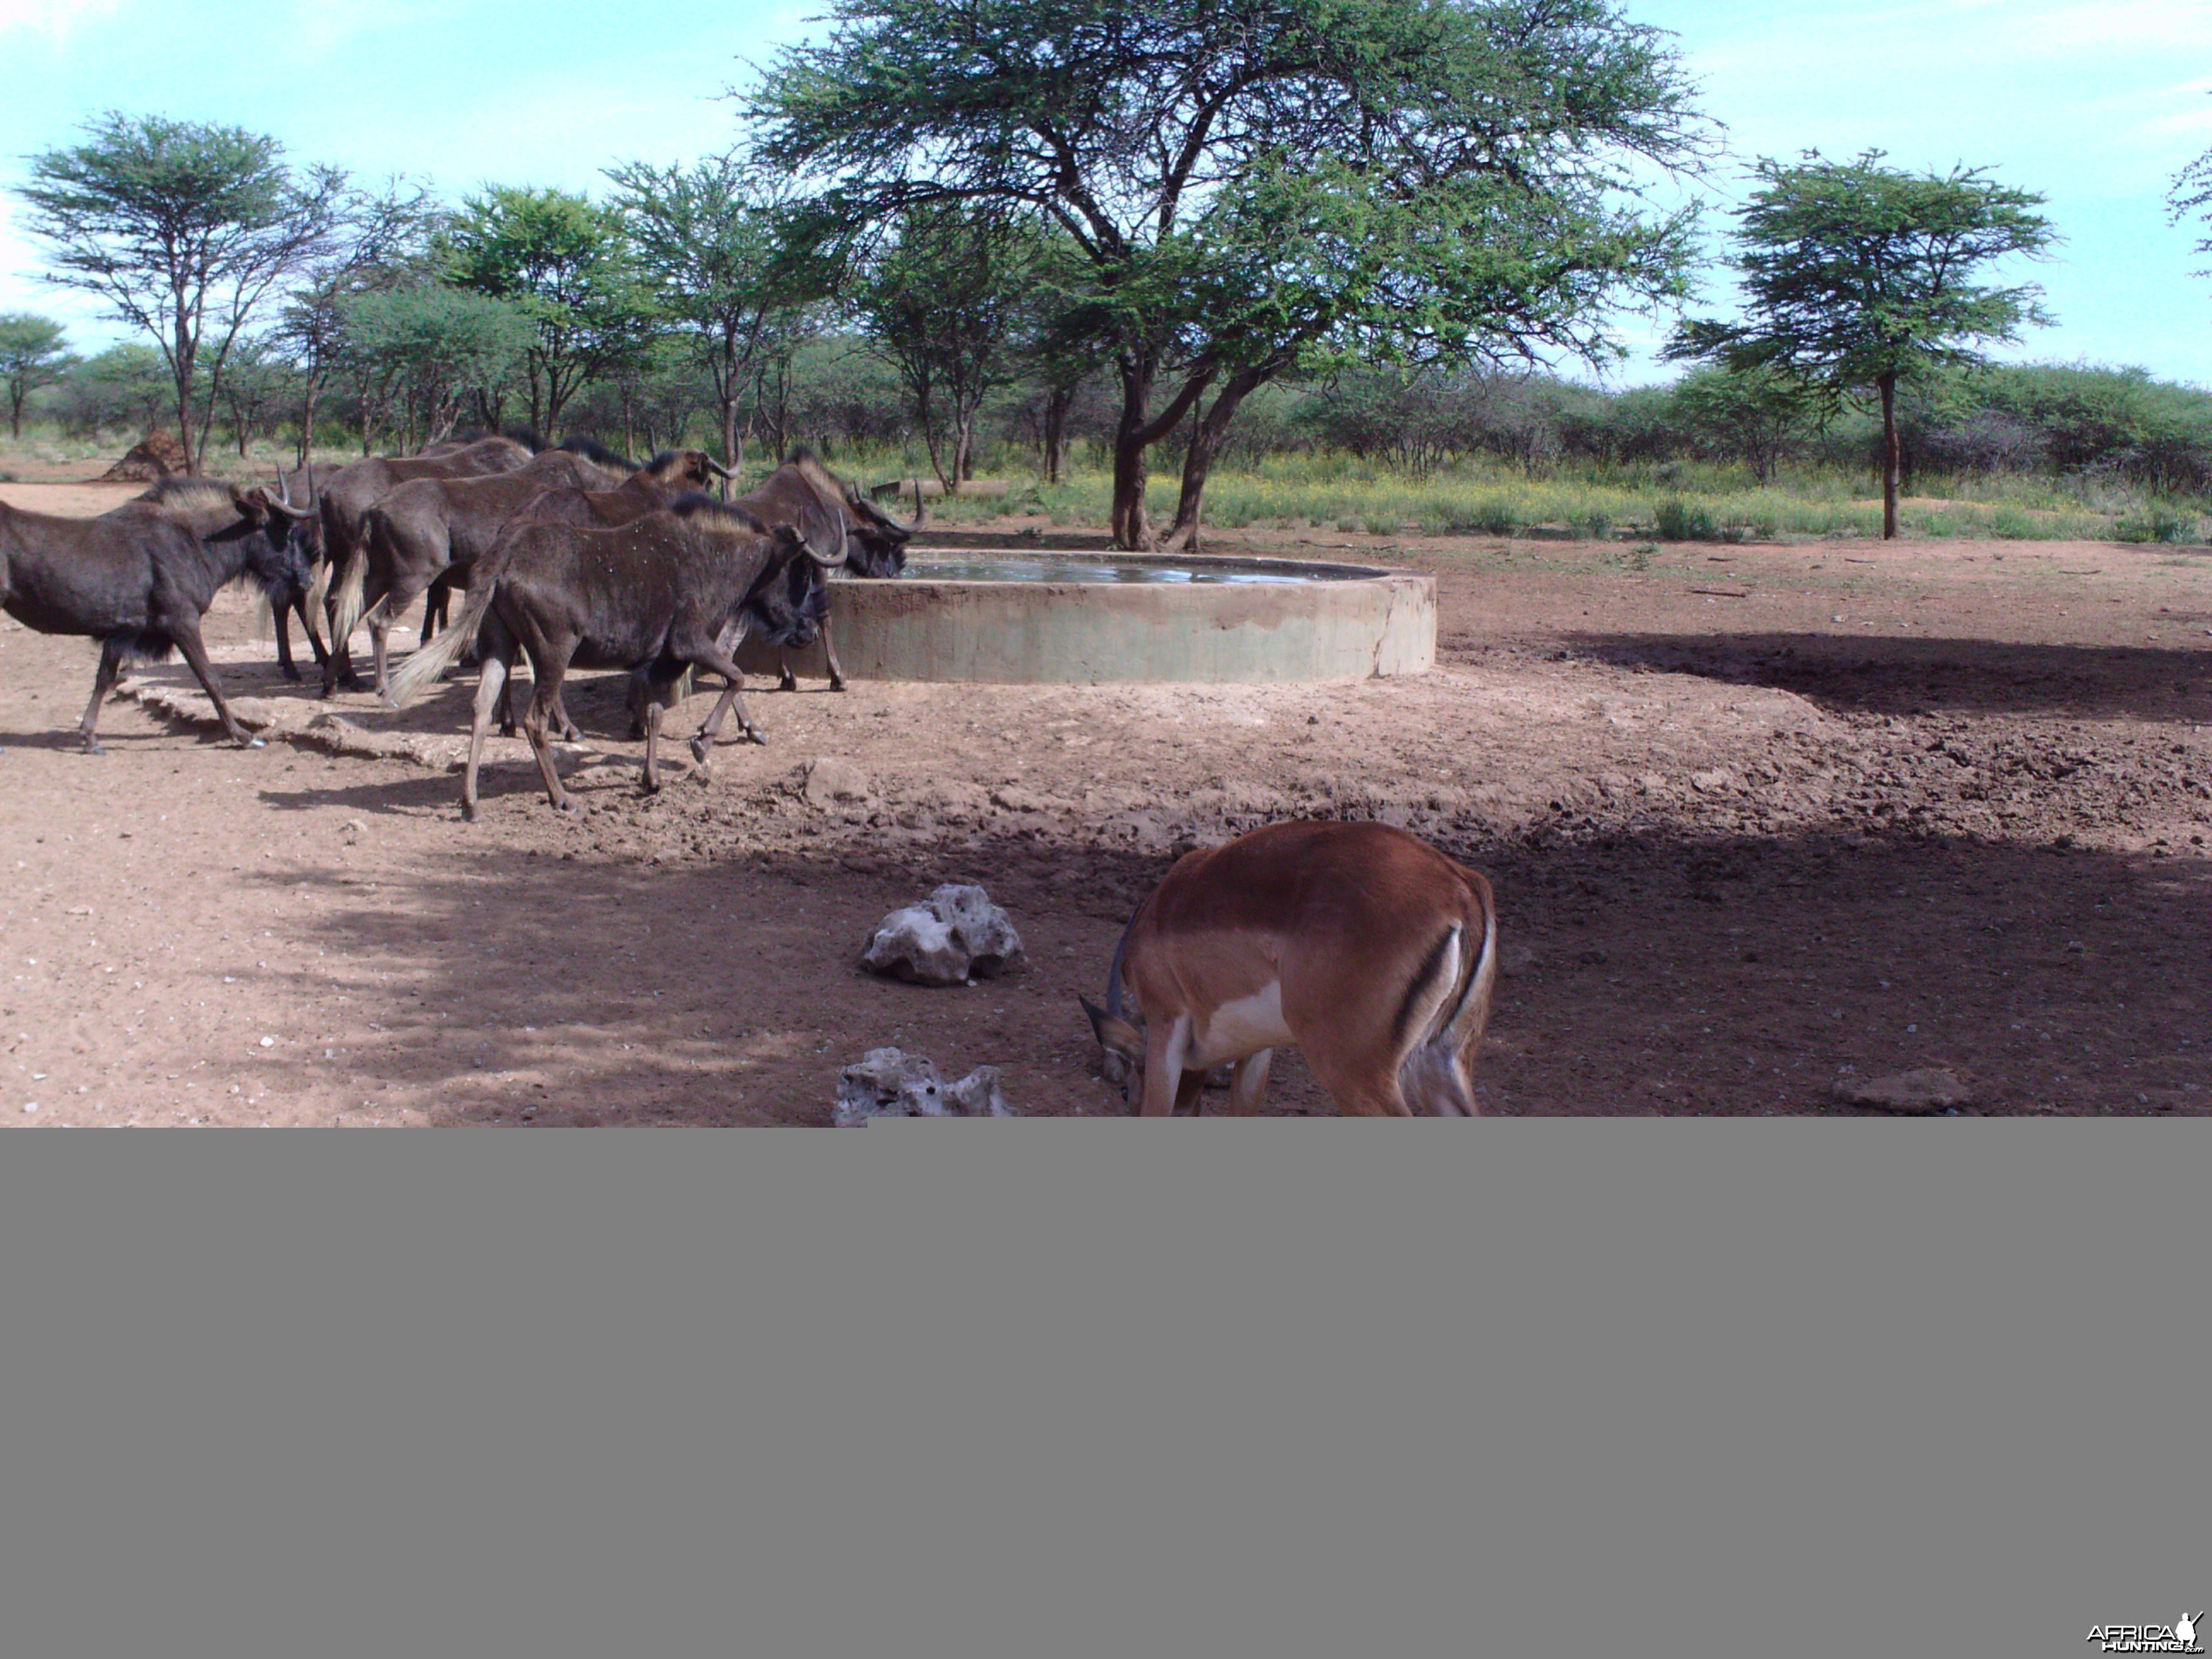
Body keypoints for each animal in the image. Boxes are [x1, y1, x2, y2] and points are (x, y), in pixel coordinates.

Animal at [1075, 818, 1495, 1119]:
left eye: (1124, 1090)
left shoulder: (1166, 1026)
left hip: (1353, 1071)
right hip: (1441, 1063)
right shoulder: (1258, 1047)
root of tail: (1462, 890)